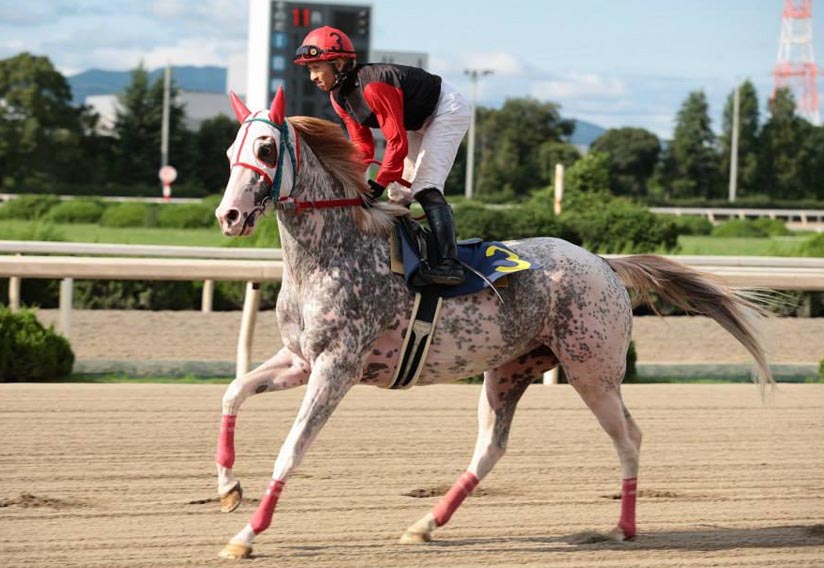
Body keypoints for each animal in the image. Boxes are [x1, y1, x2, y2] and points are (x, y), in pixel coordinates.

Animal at [211, 89, 772, 560]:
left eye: (266, 149)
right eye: (230, 150)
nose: (229, 216)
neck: (335, 252)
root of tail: (605, 262)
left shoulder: (337, 367)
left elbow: (290, 451)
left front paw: (245, 536)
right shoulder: (301, 360)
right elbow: (233, 393)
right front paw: (228, 490)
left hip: (592, 370)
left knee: (628, 437)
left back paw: (624, 528)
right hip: (509, 369)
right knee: (491, 447)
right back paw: (426, 524)